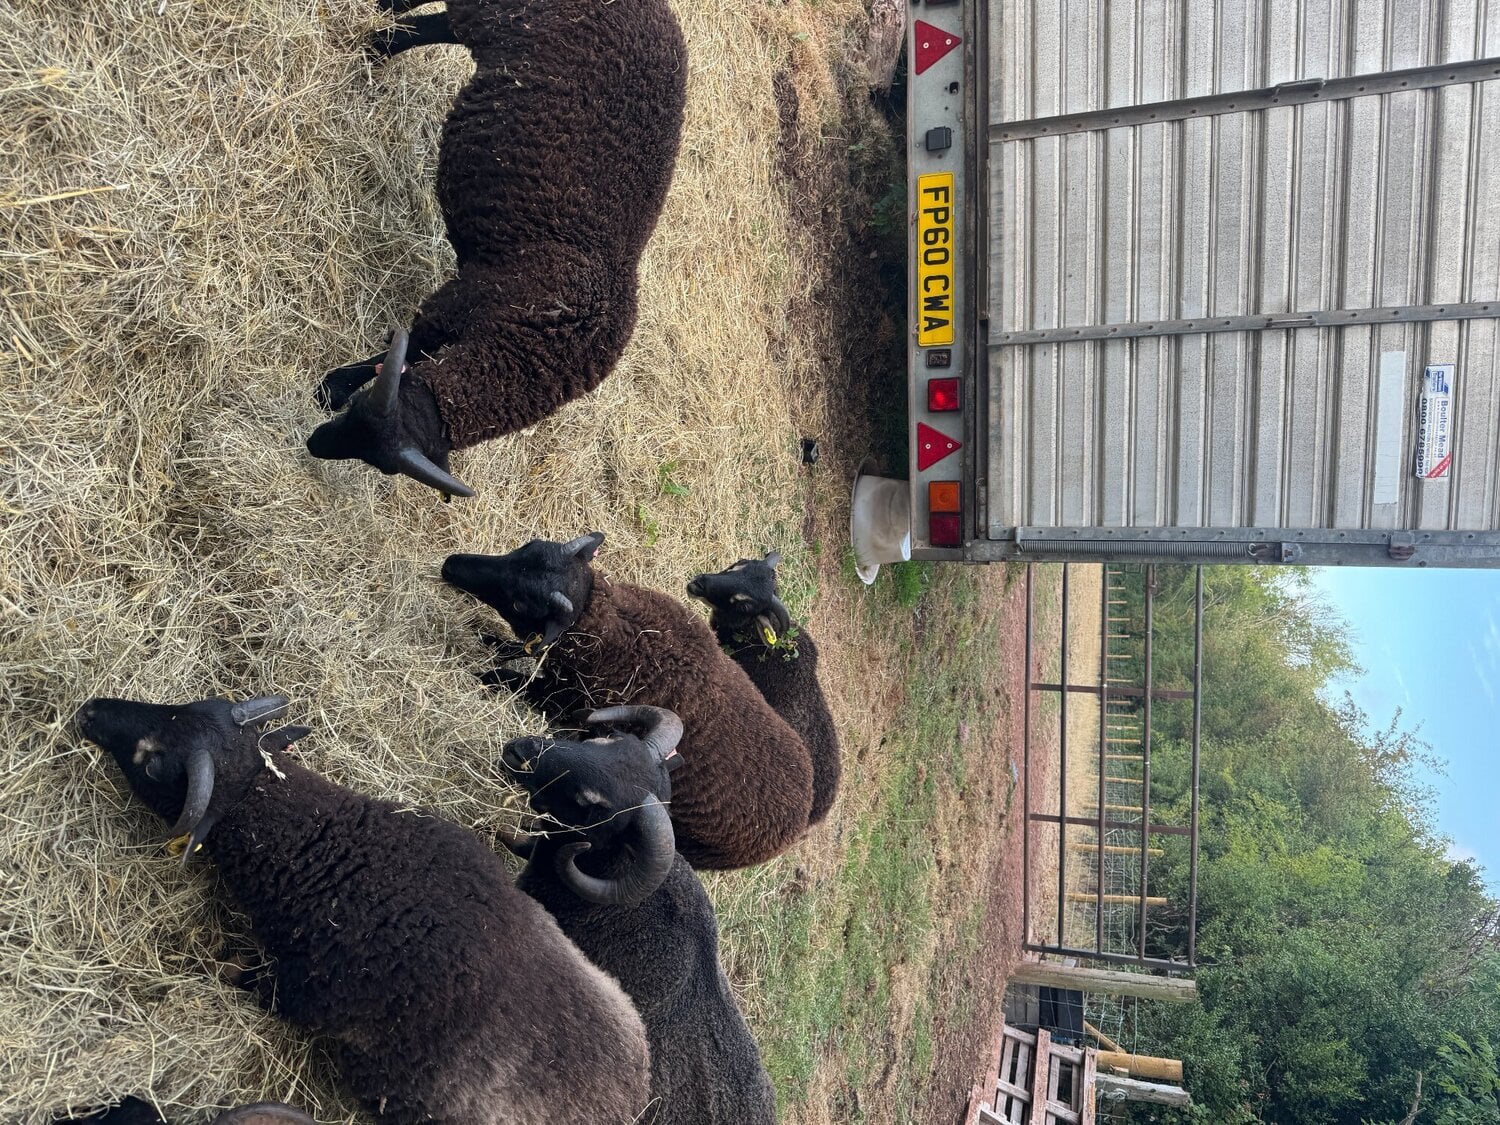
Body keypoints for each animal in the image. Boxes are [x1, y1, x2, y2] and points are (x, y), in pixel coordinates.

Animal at [75, 693, 651, 1125]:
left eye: (151, 761)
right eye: (194, 704)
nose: (90, 709)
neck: (349, 869)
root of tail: (630, 1100)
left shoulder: (296, 995)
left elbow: (237, 974)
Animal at [305, 0, 688, 497]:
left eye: (379, 463)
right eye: (356, 414)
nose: (313, 445)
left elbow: (412, 354)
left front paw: (334, 387)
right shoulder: (463, 298)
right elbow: (413, 345)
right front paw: (332, 387)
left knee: (434, 27)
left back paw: (378, 45)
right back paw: (380, 24)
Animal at [441, 534, 816, 870]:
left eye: (520, 601)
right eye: (522, 548)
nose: (450, 565)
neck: (611, 625)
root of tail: (802, 814)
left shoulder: (563, 702)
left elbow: (504, 678)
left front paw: (478, 672)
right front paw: (487, 639)